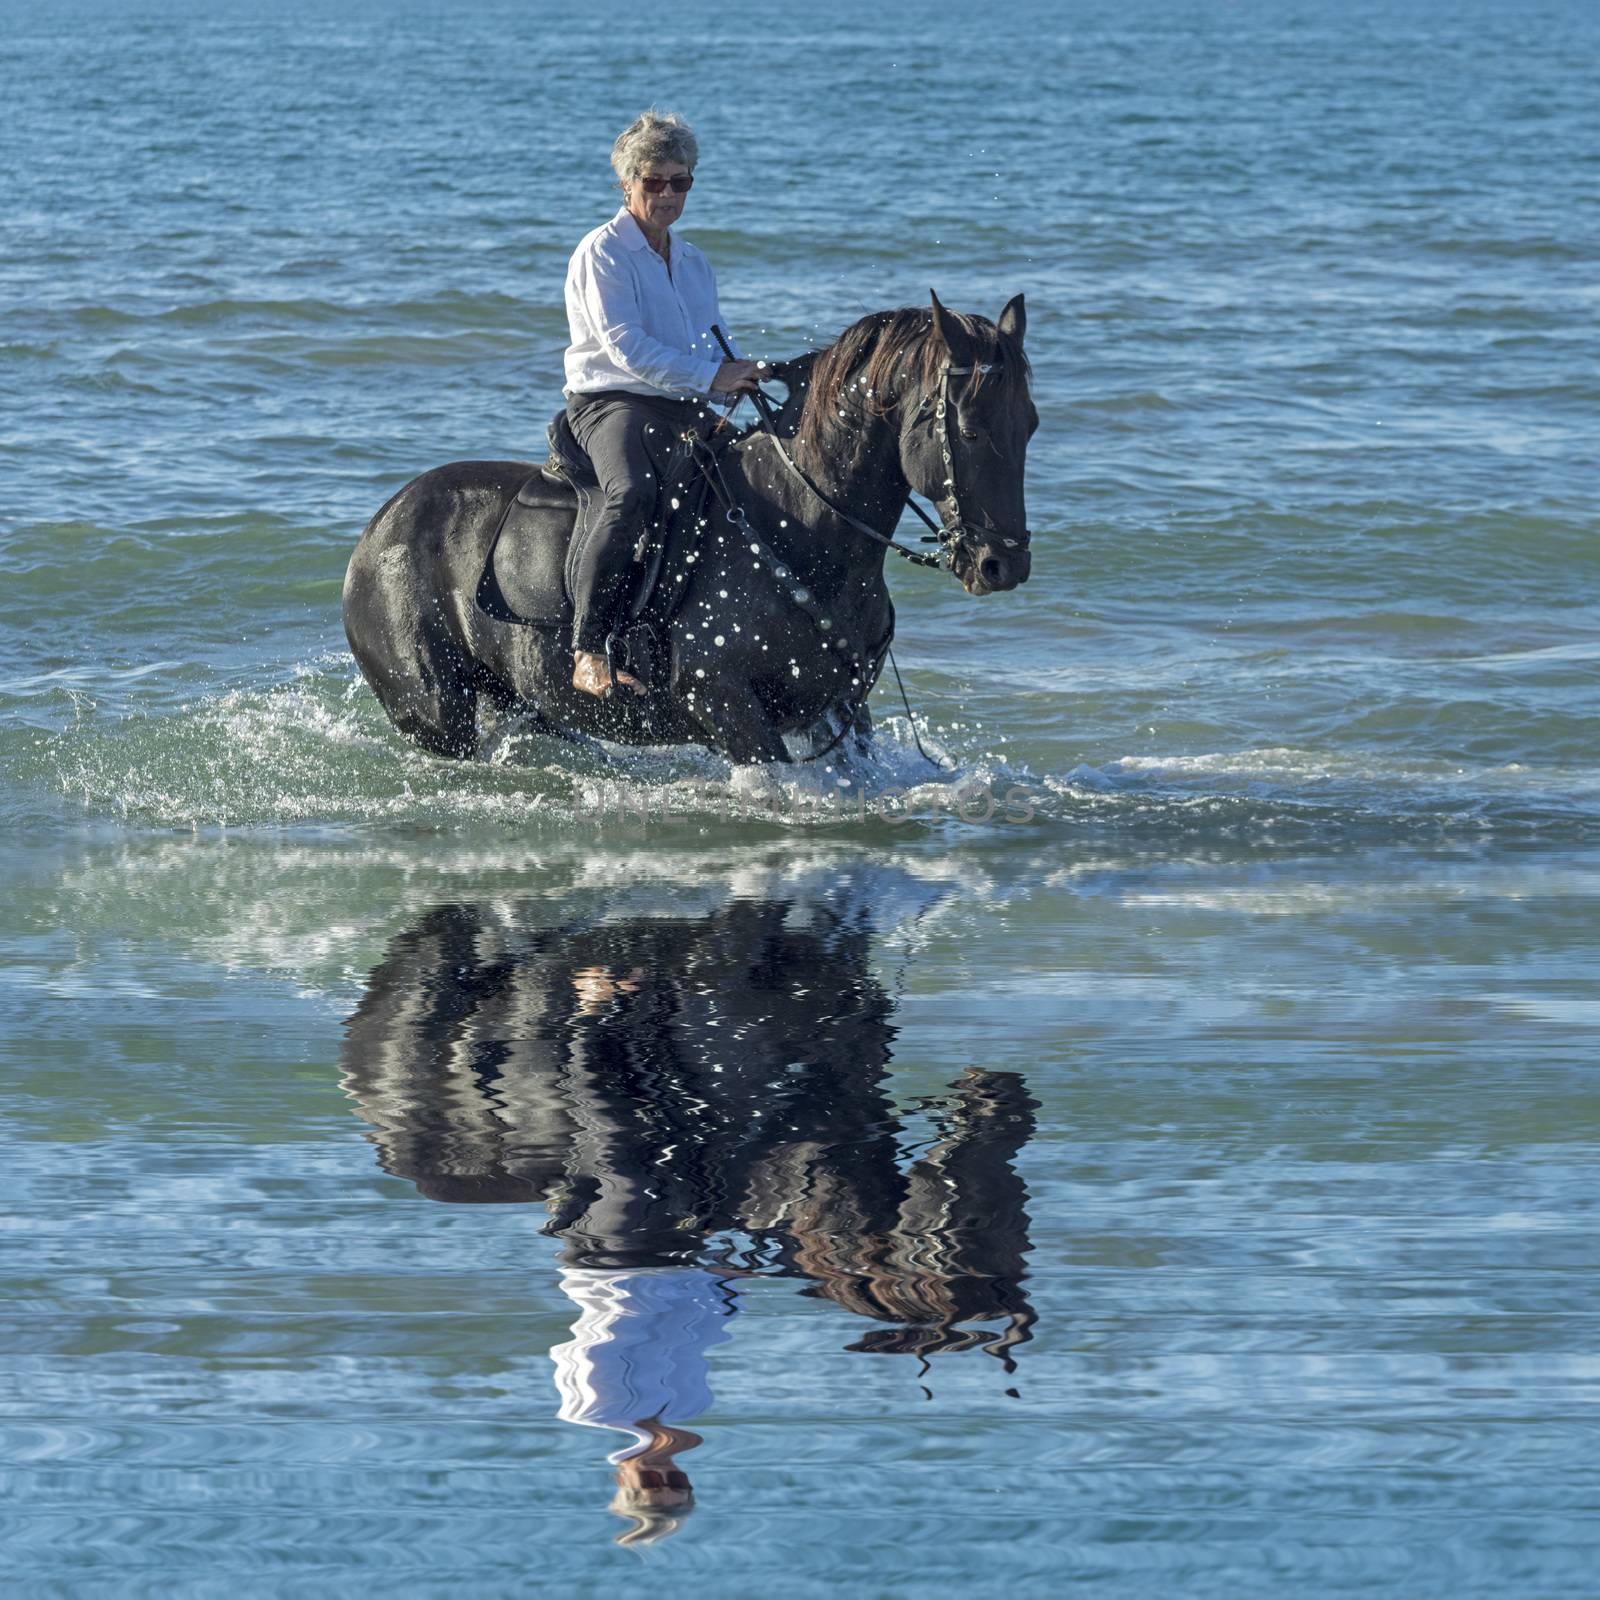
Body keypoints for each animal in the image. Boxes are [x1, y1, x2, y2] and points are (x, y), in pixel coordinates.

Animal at [340, 291, 1036, 764]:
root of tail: (379, 527)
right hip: (435, 714)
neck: (794, 526)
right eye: (970, 430)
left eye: (1029, 424)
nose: (1003, 564)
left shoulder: (838, 707)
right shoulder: (725, 705)